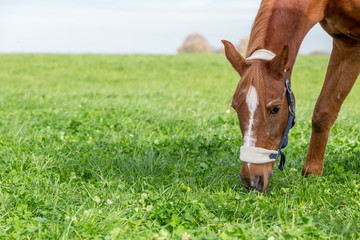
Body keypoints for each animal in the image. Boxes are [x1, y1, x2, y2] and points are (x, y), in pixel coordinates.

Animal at [224, 0, 358, 191]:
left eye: (275, 109)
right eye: (235, 107)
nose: (251, 180)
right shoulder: (347, 44)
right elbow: (323, 113)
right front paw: (312, 173)